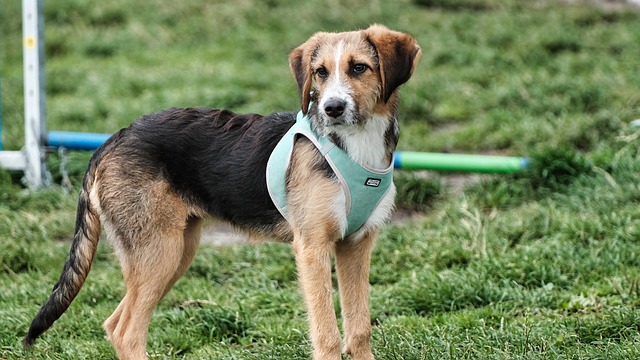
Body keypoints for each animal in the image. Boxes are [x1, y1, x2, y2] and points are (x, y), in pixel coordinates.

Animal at [23, 23, 420, 358]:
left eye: (359, 68)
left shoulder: (356, 245)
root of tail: (112, 140)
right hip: (158, 252)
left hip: (175, 253)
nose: (331, 108)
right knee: (127, 331)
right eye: (321, 72)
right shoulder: (313, 247)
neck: (355, 143)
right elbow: (328, 334)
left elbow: (359, 328)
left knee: (114, 323)